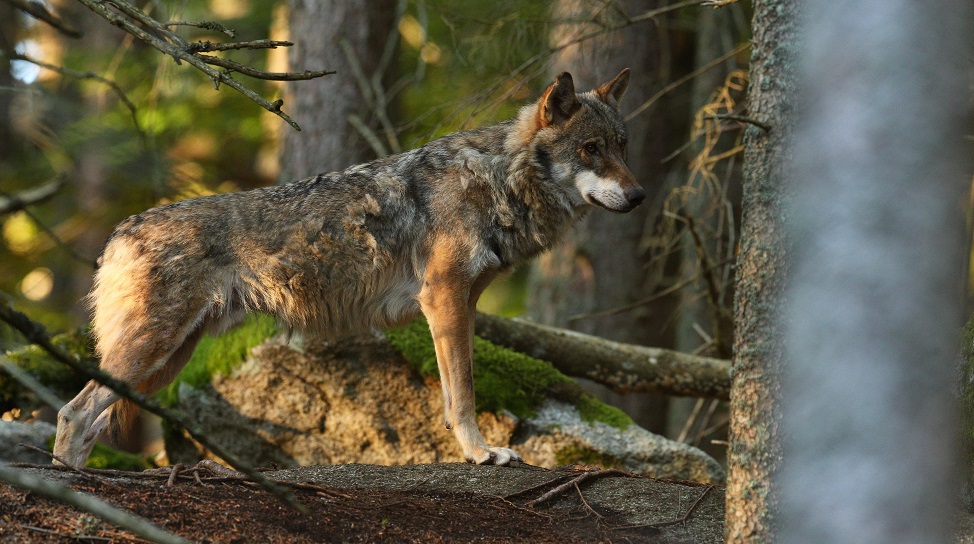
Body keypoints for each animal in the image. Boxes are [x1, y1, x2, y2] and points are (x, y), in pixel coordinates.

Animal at [53, 68, 648, 468]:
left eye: (622, 147)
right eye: (590, 149)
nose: (641, 196)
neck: (497, 180)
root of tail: (119, 231)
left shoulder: (462, 305)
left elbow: (455, 392)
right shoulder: (443, 301)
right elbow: (463, 395)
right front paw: (481, 454)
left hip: (164, 364)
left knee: (88, 419)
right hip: (152, 354)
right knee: (73, 413)